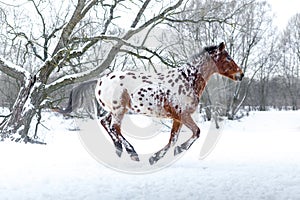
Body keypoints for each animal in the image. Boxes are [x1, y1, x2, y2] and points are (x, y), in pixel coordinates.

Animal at [58, 41, 244, 164]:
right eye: (228, 57)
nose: (241, 74)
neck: (187, 80)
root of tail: (100, 80)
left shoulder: (177, 118)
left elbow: (175, 138)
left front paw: (158, 156)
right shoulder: (182, 115)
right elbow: (194, 133)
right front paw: (163, 155)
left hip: (114, 110)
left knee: (105, 123)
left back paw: (119, 150)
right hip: (119, 110)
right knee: (114, 127)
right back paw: (132, 153)